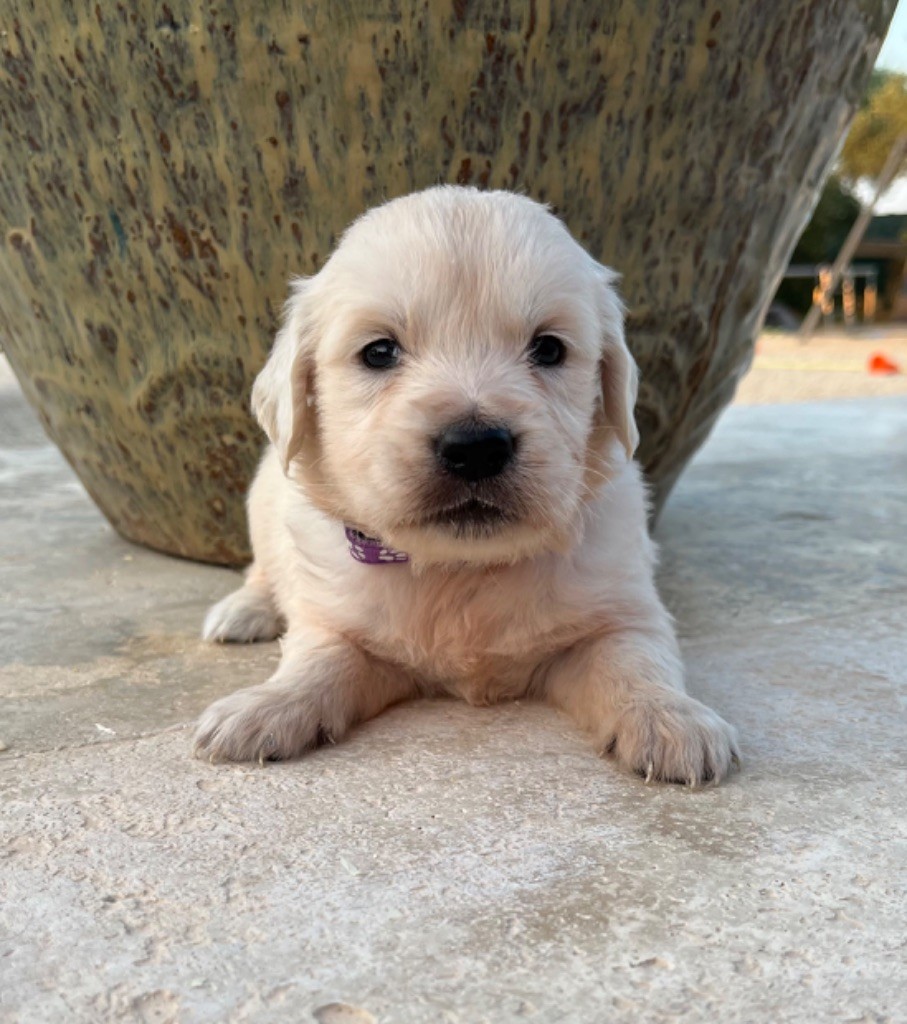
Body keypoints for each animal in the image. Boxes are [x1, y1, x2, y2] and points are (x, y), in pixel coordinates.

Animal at [195, 186, 741, 782]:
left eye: (549, 349)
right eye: (379, 352)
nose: (476, 447)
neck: (462, 570)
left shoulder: (623, 611)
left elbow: (634, 660)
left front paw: (670, 719)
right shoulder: (334, 617)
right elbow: (319, 658)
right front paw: (267, 706)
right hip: (262, 499)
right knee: (262, 569)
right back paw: (243, 611)